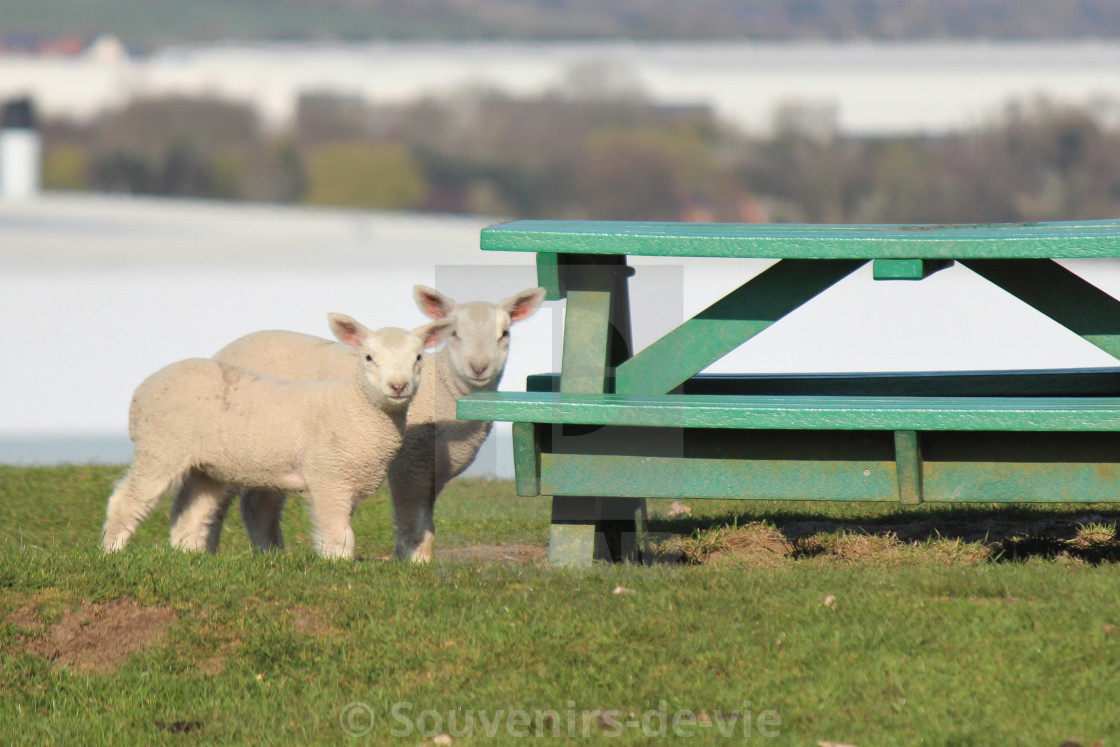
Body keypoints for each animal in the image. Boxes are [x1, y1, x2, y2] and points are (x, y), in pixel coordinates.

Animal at [103, 313, 452, 557]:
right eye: (368, 358)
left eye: (418, 358)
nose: (398, 386)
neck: (358, 406)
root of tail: (144, 387)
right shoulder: (328, 476)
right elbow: (338, 536)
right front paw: (337, 565)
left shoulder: (346, 480)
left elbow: (340, 530)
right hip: (161, 445)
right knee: (127, 499)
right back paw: (112, 551)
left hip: (208, 464)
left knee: (191, 511)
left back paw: (188, 556)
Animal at [199, 284, 548, 559]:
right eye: (455, 334)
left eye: (505, 334)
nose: (479, 367)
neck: (448, 392)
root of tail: (224, 350)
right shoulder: (411, 461)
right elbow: (415, 518)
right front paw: (413, 561)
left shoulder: (432, 468)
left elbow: (426, 519)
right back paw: (206, 552)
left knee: (259, 504)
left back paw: (271, 554)